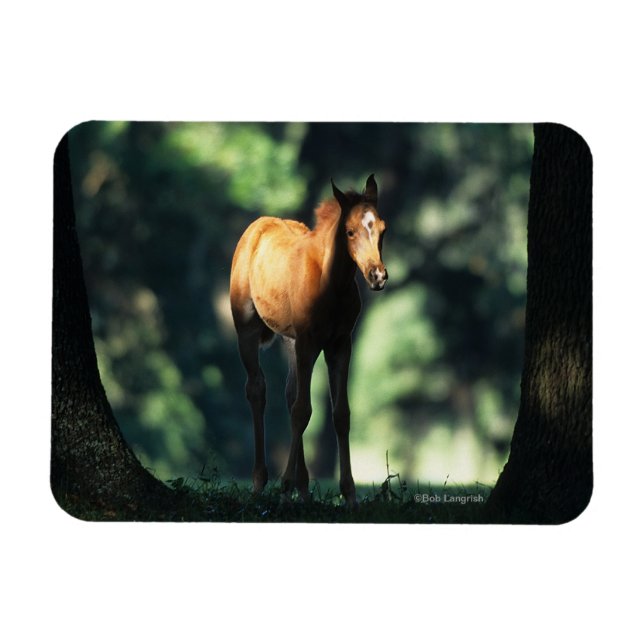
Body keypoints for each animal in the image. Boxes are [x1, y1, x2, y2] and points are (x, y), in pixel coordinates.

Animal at [229, 174, 388, 506]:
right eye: (349, 231)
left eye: (382, 228)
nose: (377, 276)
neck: (332, 285)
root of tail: (256, 226)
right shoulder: (308, 341)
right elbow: (303, 411)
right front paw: (284, 484)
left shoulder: (340, 344)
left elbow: (340, 413)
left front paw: (349, 494)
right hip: (247, 331)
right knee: (257, 389)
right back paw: (261, 482)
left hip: (290, 341)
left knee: (290, 394)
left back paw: (302, 489)